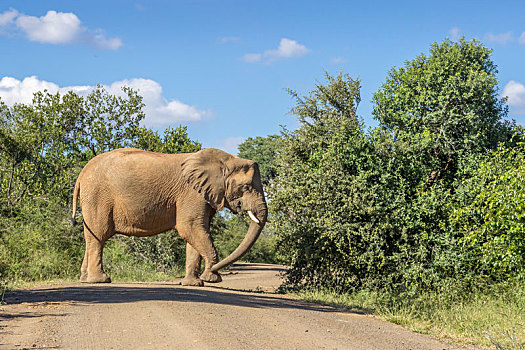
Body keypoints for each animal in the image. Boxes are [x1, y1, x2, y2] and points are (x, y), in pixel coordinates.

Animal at [70, 148, 266, 288]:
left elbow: (196, 232)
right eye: (246, 187)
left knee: (91, 237)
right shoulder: (192, 193)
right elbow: (189, 228)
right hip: (97, 196)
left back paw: (85, 280)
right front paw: (211, 279)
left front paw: (193, 284)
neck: (225, 159)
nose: (214, 270)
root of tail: (82, 173)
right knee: (99, 235)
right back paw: (101, 280)